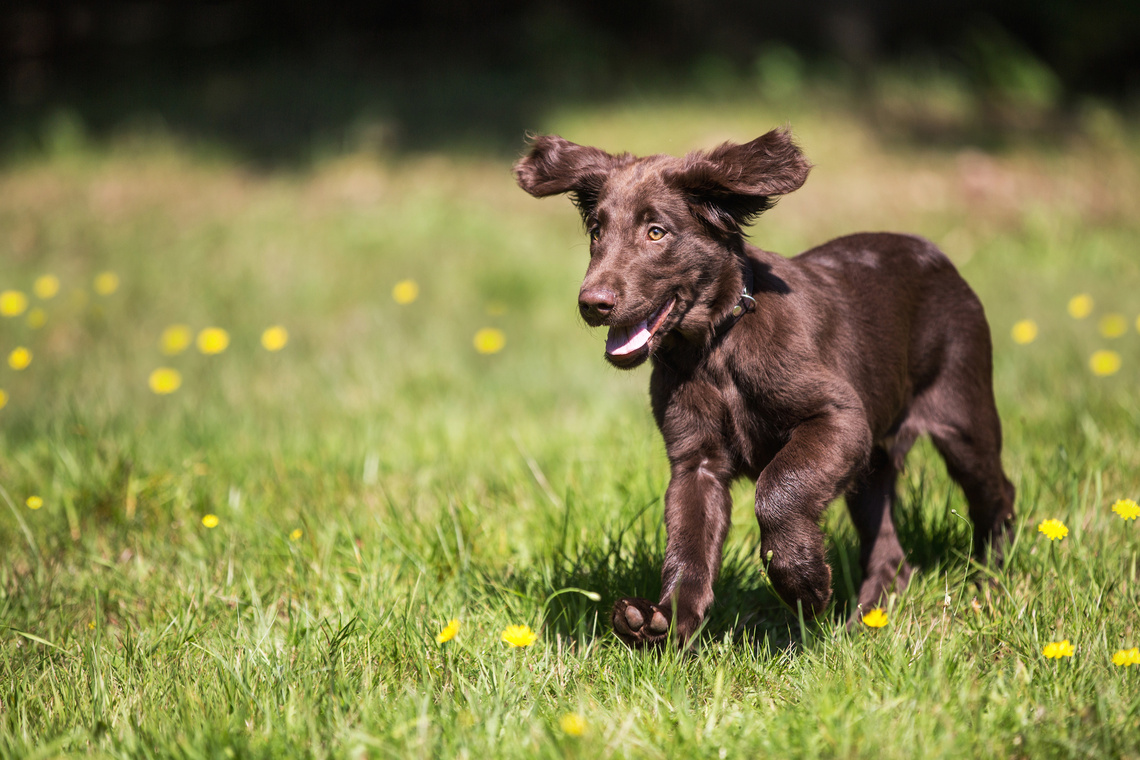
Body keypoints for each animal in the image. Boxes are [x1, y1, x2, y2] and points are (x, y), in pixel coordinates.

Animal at [513, 126, 1012, 647]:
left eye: (656, 232)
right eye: (596, 232)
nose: (592, 303)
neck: (714, 350)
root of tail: (941, 258)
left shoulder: (839, 416)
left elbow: (777, 489)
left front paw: (804, 584)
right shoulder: (697, 461)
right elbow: (688, 545)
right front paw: (666, 621)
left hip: (963, 417)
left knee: (997, 495)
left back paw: (990, 583)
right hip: (871, 466)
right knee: (891, 553)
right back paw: (864, 624)